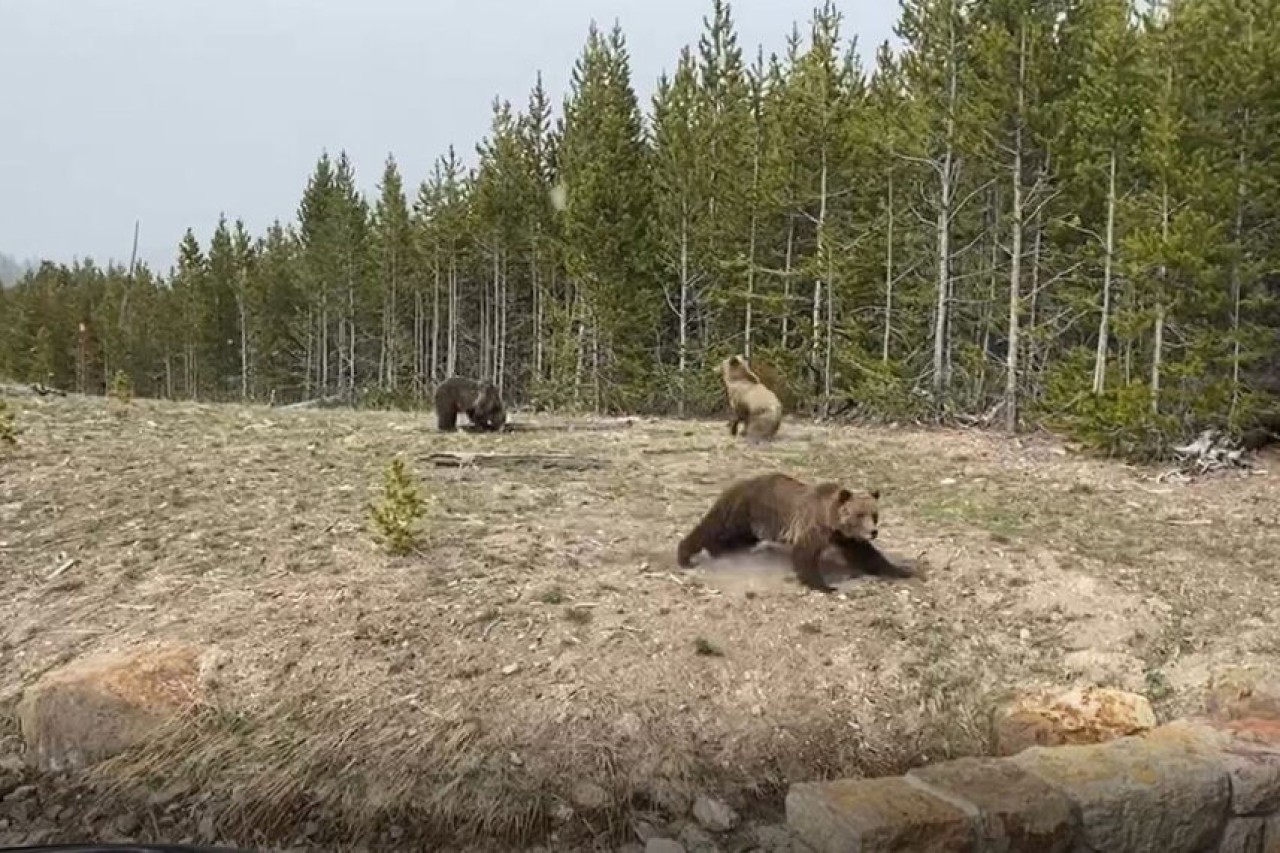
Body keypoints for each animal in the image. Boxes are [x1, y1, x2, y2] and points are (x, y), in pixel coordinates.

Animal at [675, 472, 914, 593]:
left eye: (875, 514)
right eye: (860, 514)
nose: (873, 532)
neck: (832, 520)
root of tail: (736, 483)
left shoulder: (845, 538)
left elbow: (867, 555)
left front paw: (903, 570)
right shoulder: (814, 526)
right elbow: (805, 554)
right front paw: (825, 585)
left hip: (752, 523)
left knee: (735, 539)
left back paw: (722, 551)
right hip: (744, 509)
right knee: (713, 527)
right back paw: (685, 556)